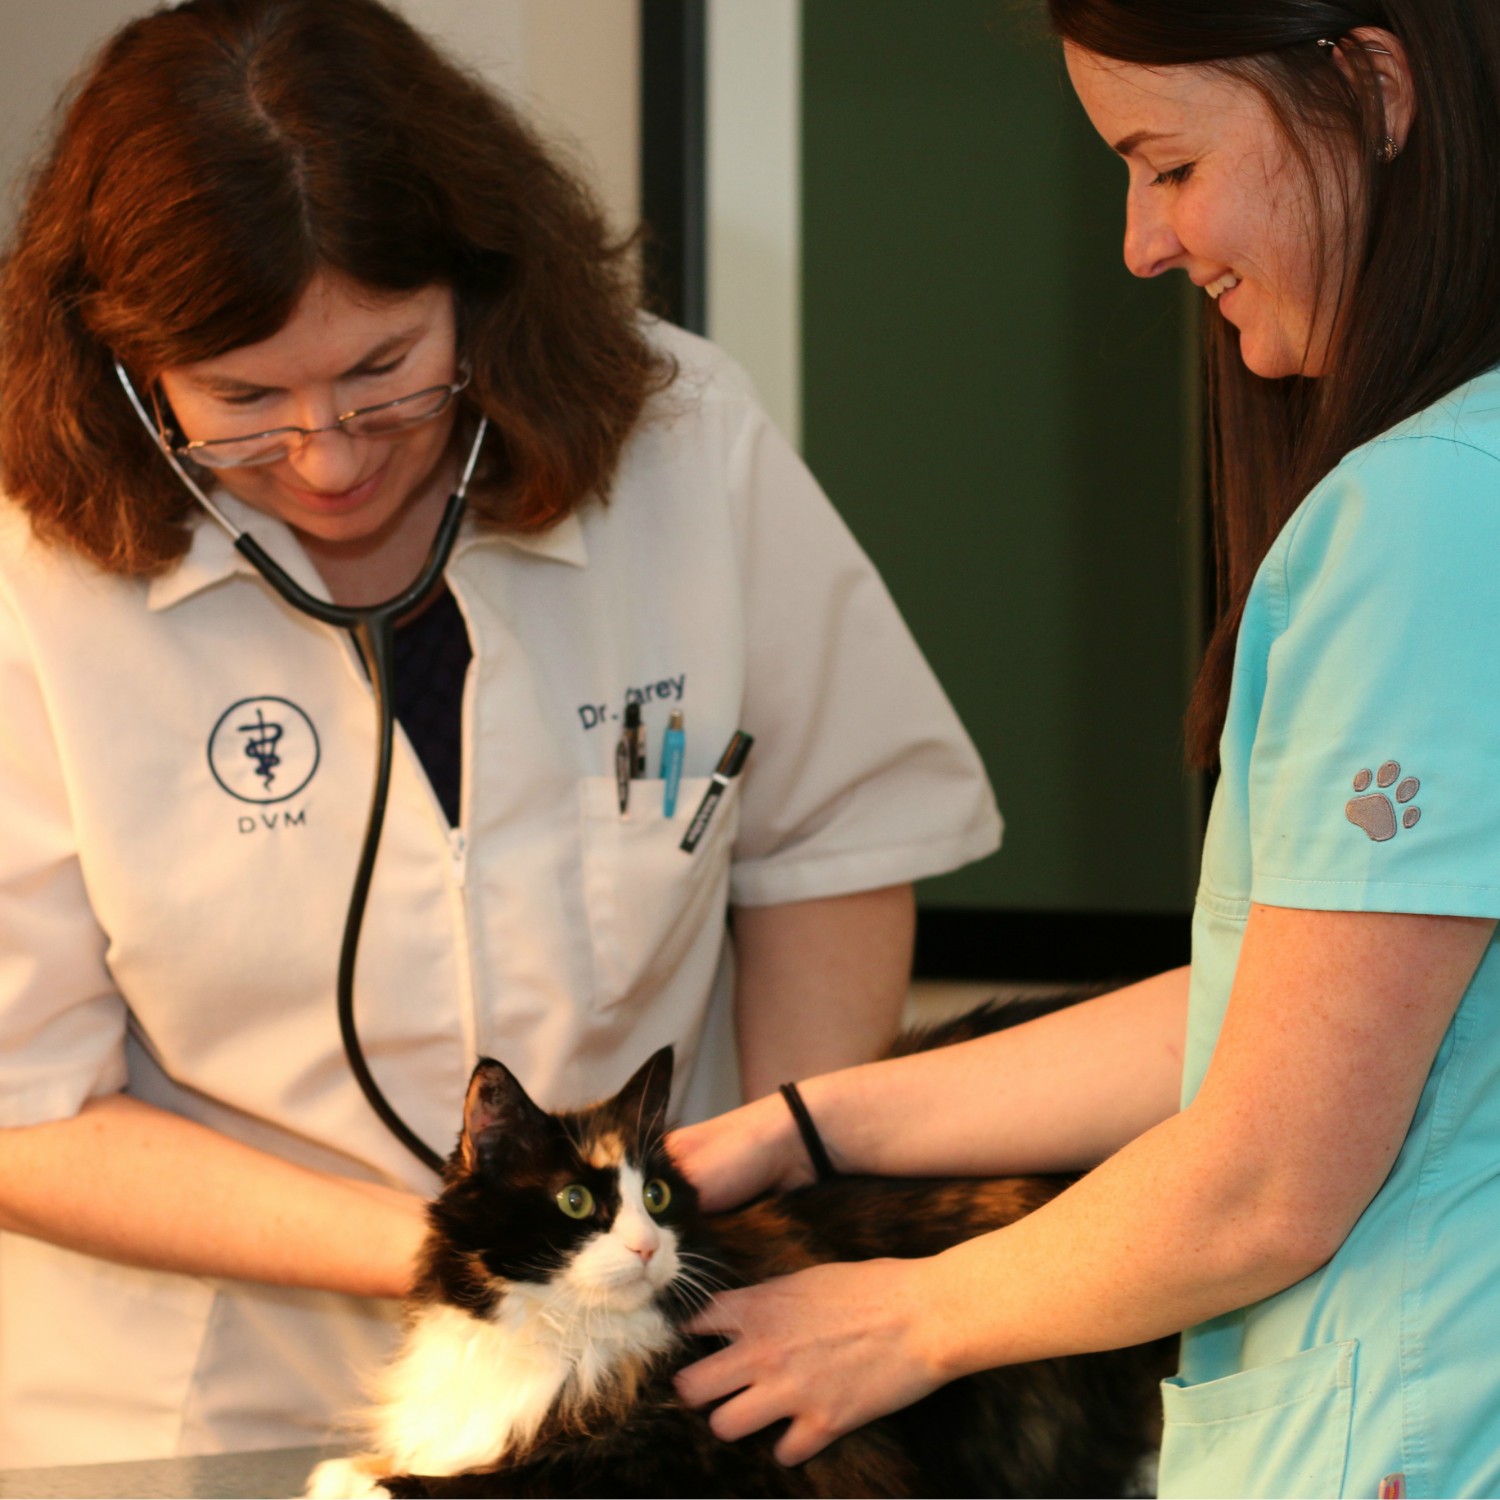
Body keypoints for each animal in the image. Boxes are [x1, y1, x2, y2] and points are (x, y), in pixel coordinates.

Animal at [307, 996, 1170, 1500]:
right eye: (576, 1201)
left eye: (656, 1196)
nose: (648, 1249)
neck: (563, 1339)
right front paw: (357, 1472)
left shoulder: (734, 1464)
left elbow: (493, 1486)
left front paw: (393, 1484)